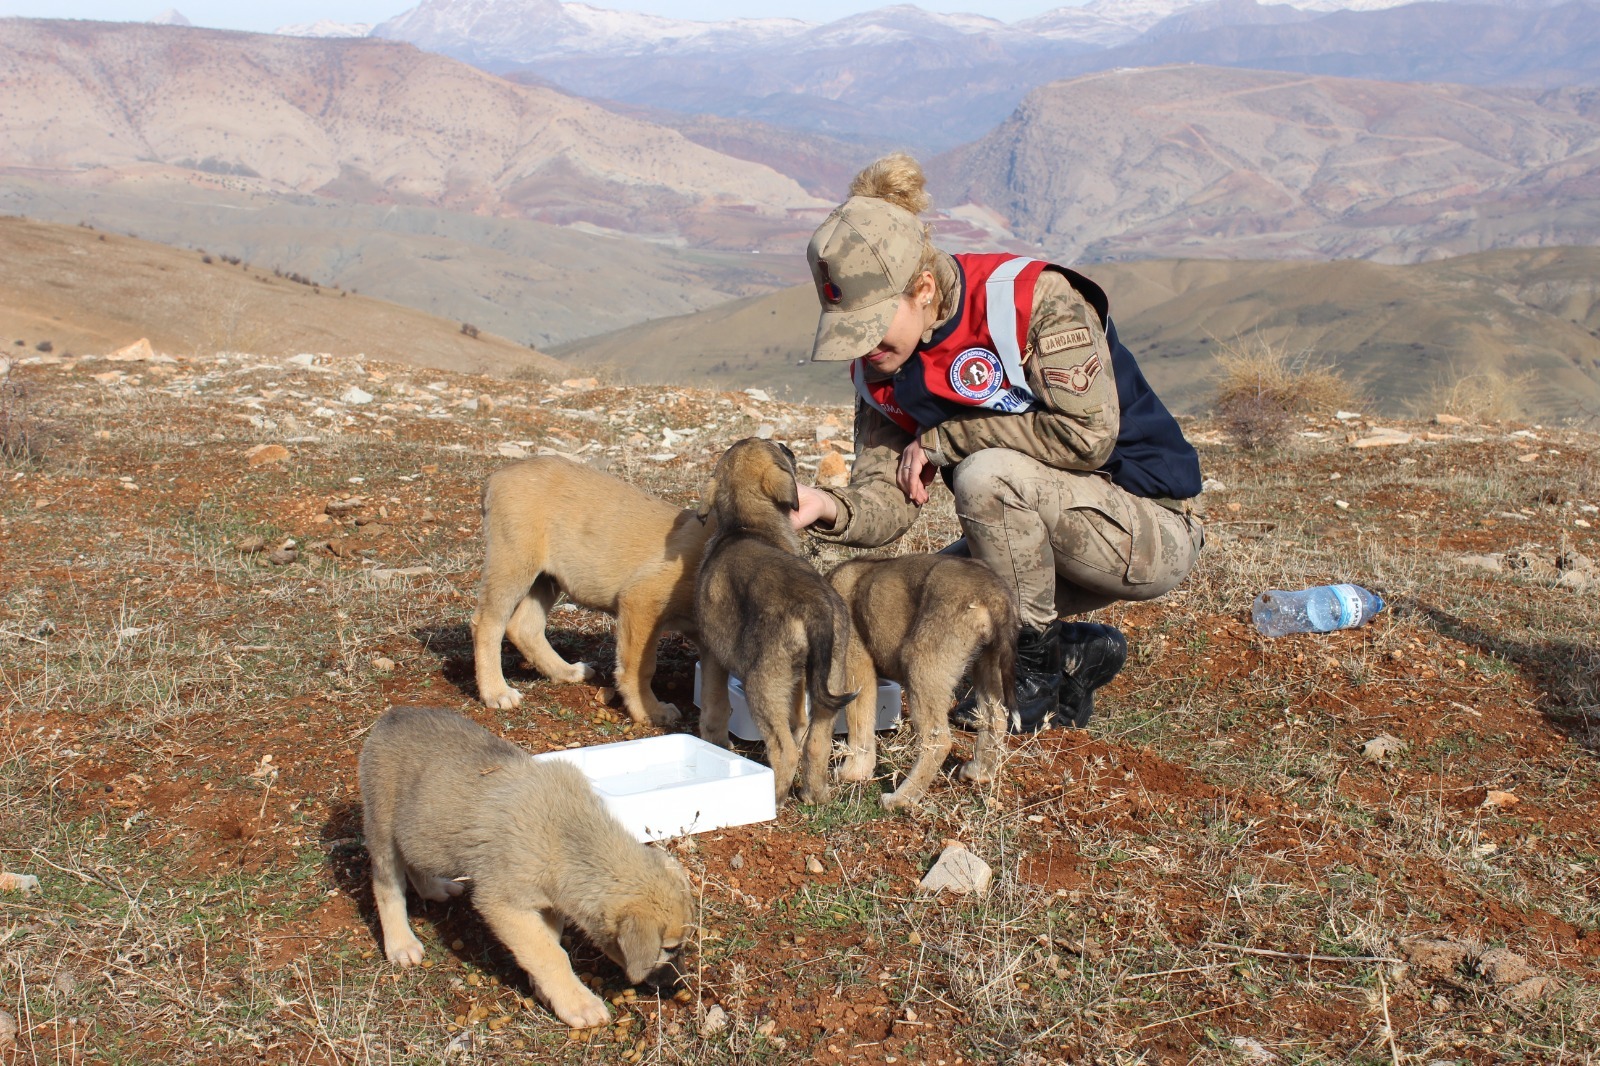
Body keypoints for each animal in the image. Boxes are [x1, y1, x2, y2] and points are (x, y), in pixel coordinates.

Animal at [360, 701, 691, 1024]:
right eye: (669, 948)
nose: (679, 986)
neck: (568, 838)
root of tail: (394, 714)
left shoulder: (548, 905)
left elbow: (547, 944)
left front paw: (544, 989)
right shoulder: (502, 904)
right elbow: (550, 954)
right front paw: (578, 1003)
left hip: (419, 834)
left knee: (414, 863)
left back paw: (434, 889)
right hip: (382, 827)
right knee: (387, 886)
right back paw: (401, 944)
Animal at [467, 451, 707, 726]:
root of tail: (497, 476)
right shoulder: (641, 601)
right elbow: (640, 668)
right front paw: (650, 711)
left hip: (546, 579)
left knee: (524, 627)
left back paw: (566, 671)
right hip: (513, 563)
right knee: (487, 623)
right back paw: (496, 691)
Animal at [694, 435, 857, 800]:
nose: (786, 444)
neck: (747, 525)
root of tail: (815, 605)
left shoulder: (711, 653)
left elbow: (713, 706)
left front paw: (715, 741)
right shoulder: (798, 682)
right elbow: (798, 720)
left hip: (763, 682)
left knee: (785, 750)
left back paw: (774, 798)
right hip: (831, 675)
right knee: (815, 744)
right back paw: (815, 795)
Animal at [832, 550, 1017, 809]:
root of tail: (995, 595)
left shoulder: (856, 664)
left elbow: (859, 724)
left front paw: (853, 772)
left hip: (922, 666)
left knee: (938, 740)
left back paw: (901, 799)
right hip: (988, 664)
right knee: (996, 719)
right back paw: (978, 772)